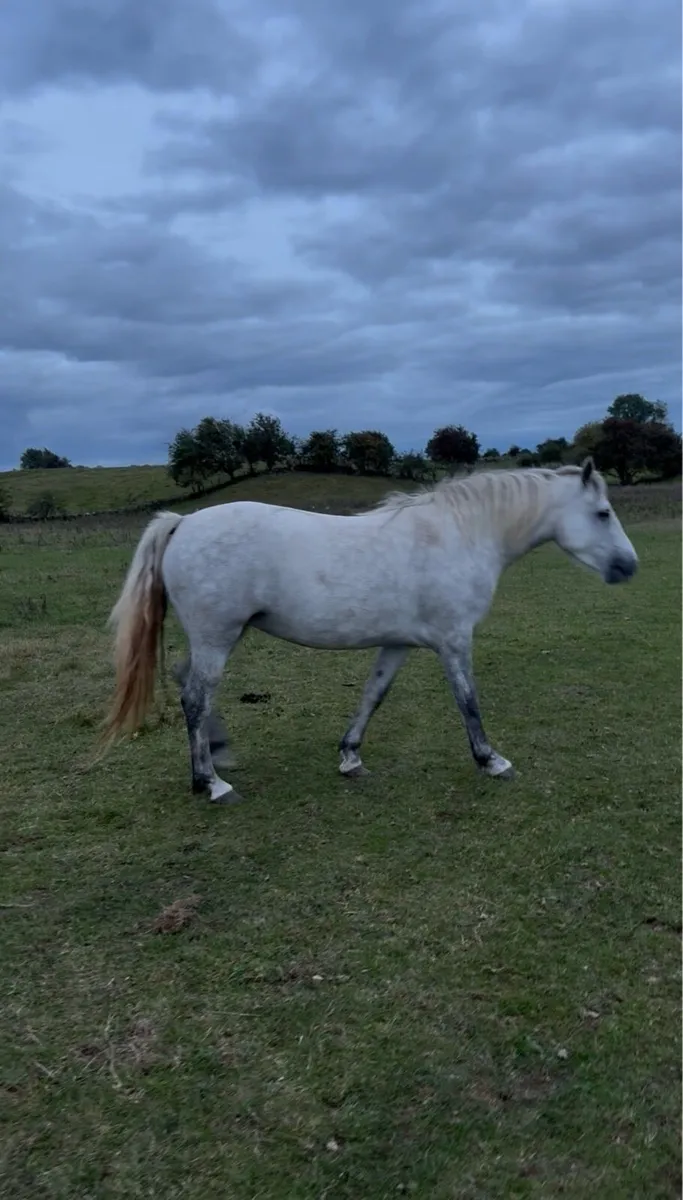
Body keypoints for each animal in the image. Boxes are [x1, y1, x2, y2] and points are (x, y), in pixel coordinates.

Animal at [100, 459, 638, 803]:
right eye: (602, 514)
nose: (629, 566)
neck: (459, 534)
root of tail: (183, 522)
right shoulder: (453, 640)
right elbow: (468, 700)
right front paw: (491, 760)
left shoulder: (398, 643)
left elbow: (373, 695)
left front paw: (350, 756)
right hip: (218, 637)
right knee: (195, 697)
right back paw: (209, 784)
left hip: (213, 639)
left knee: (188, 684)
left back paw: (218, 755)